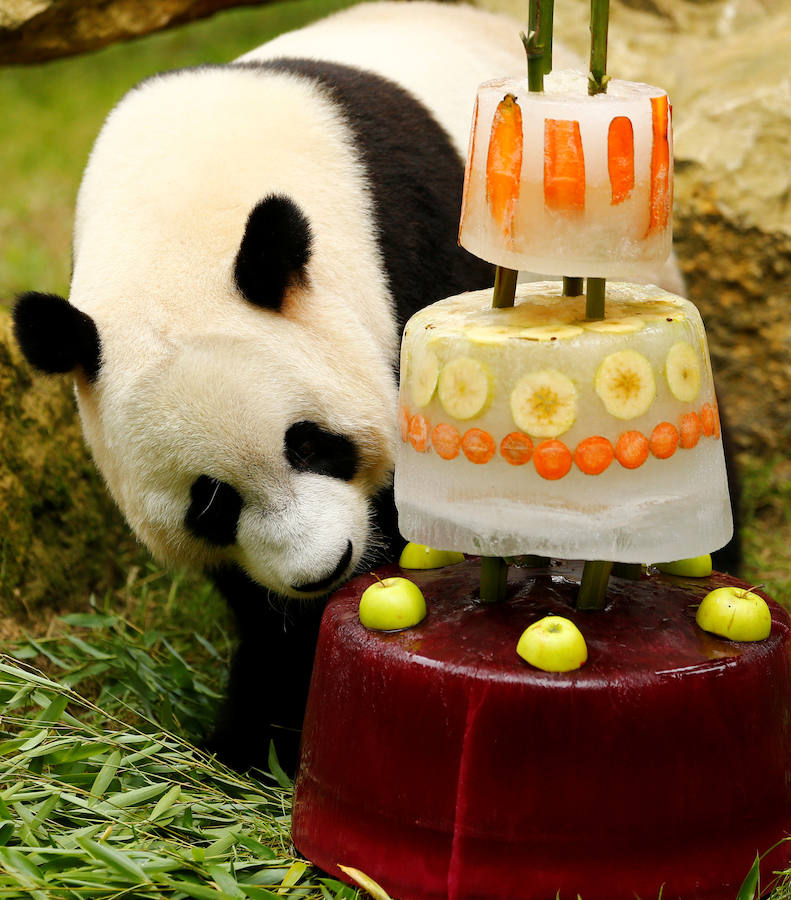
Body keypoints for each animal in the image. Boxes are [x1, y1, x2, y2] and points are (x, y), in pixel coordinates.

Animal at [10, 0, 732, 772]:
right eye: (211, 502)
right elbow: (256, 598)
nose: (324, 569)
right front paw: (253, 733)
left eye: (309, 444)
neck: (181, 212)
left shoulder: (408, 255)